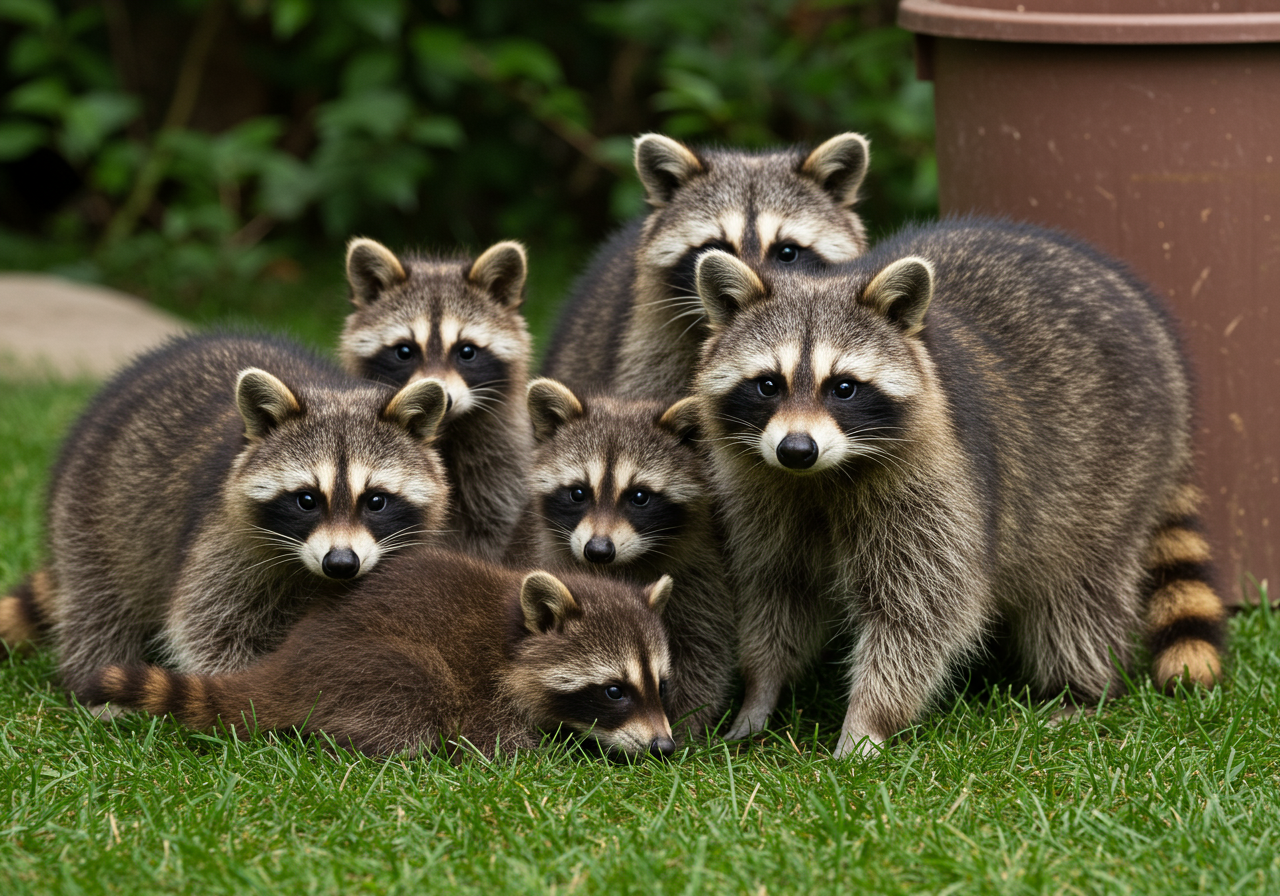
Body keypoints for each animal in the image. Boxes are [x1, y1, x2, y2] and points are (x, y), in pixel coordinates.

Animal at [8, 332, 450, 698]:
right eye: (307, 500)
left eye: (375, 501)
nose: (340, 563)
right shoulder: (223, 542)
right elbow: (211, 627)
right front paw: (256, 690)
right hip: (94, 508)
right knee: (99, 600)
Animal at [84, 547, 677, 760]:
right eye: (614, 690)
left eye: (661, 685)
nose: (665, 747)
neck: (516, 637)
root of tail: (288, 662)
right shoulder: (484, 688)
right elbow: (497, 745)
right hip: (370, 670)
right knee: (415, 688)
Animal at [339, 238, 534, 561]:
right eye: (404, 351)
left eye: (466, 351)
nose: (443, 397)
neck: (444, 429)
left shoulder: (498, 467)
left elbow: (491, 529)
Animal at [510, 378, 735, 739]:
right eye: (578, 493)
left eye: (639, 497)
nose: (598, 551)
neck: (618, 567)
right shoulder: (543, 554)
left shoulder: (700, 572)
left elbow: (703, 647)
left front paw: (685, 725)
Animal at [690, 218, 1227, 758]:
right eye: (768, 385)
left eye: (843, 387)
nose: (796, 449)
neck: (820, 478)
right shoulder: (764, 498)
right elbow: (776, 590)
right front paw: (760, 692)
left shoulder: (936, 489)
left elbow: (921, 614)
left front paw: (866, 724)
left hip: (1115, 466)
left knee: (1081, 591)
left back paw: (1081, 689)